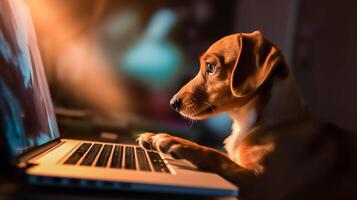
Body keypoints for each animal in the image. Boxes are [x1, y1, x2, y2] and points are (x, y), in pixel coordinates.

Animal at [136, 31, 356, 200]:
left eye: (210, 67)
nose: (172, 103)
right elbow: (216, 150)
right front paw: (155, 136)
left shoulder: (259, 182)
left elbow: (214, 154)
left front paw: (174, 142)